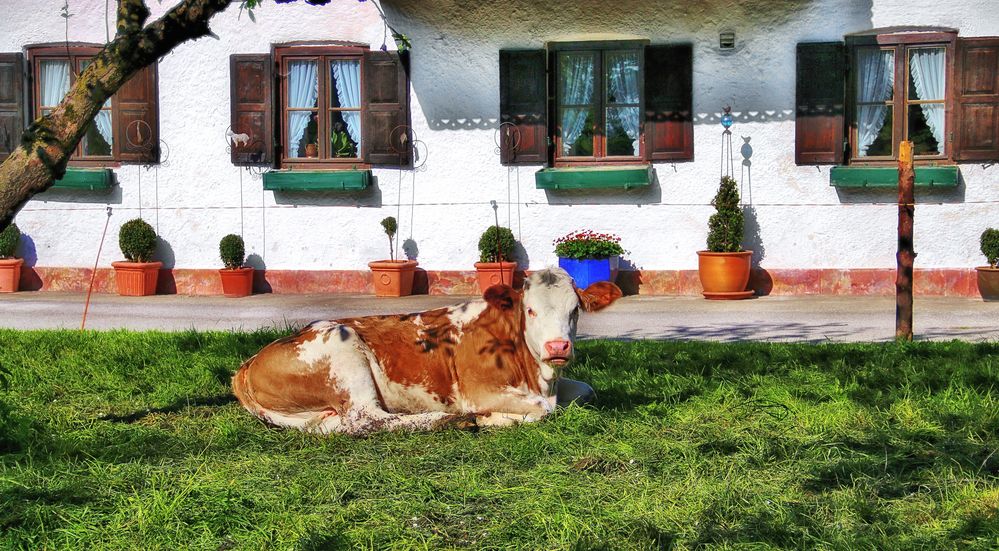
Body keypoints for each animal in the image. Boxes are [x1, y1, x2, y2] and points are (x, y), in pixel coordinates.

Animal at [233, 268, 620, 436]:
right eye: (531, 310)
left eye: (575, 310)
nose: (558, 347)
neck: (540, 377)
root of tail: (248, 363)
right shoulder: (479, 390)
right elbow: (543, 409)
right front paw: (493, 417)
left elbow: (585, 391)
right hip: (343, 349)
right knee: (367, 419)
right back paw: (457, 419)